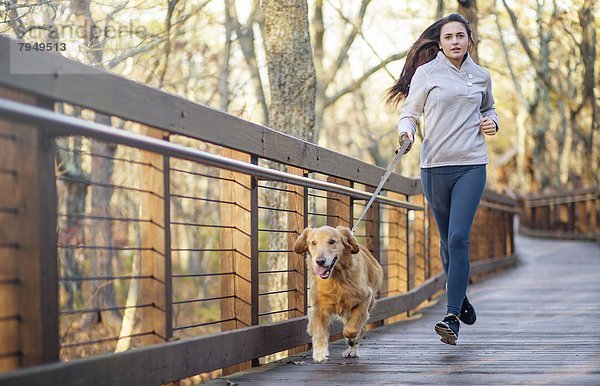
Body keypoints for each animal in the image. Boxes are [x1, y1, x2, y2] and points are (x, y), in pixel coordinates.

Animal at [292, 225, 382, 364]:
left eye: (332, 241)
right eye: (313, 242)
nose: (320, 261)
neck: (335, 278)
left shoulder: (365, 298)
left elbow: (351, 329)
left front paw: (351, 338)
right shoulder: (317, 308)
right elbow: (319, 331)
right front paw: (320, 352)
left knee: (360, 327)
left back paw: (352, 348)